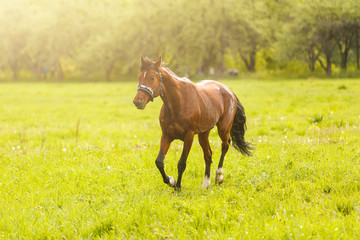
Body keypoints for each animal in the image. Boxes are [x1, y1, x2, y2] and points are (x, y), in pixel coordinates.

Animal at [133, 56, 253, 189]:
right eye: (139, 77)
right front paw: (171, 181)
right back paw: (206, 183)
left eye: (152, 77)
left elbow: (181, 163)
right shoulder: (166, 135)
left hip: (223, 128)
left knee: (225, 145)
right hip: (204, 134)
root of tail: (229, 91)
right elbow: (159, 161)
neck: (178, 102)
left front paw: (177, 187)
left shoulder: (189, 136)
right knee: (208, 154)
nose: (138, 101)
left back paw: (219, 176)